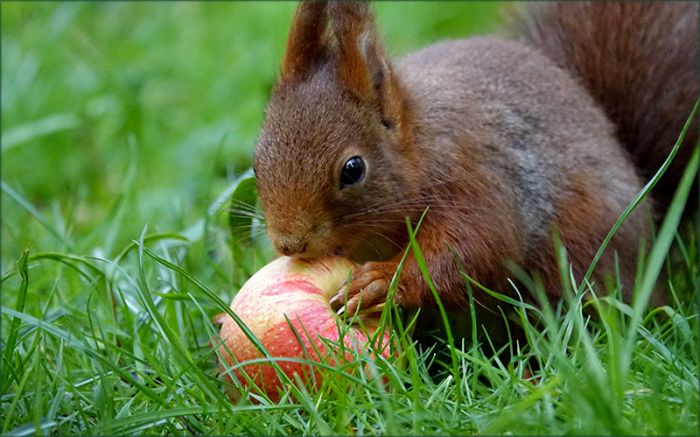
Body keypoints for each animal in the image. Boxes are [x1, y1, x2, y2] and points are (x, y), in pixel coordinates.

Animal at [250, 1, 698, 318]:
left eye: (353, 169)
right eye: (256, 162)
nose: (289, 243)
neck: (420, 146)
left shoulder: (474, 176)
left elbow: (472, 248)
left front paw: (383, 281)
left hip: (582, 257)